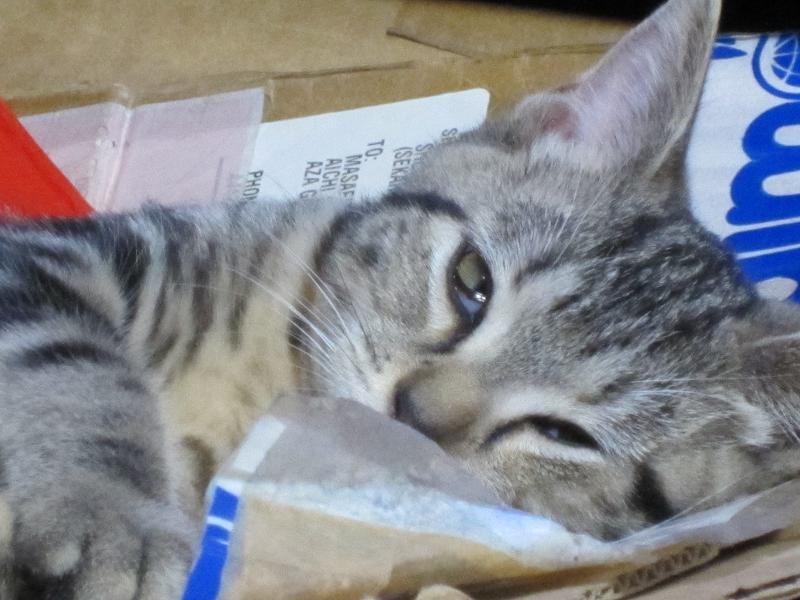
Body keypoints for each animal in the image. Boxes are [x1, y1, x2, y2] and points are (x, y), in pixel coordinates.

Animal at [1, 0, 799, 597]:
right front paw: (112, 517)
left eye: (565, 434)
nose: (411, 414)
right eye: (471, 282)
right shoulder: (68, 254)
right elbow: (71, 359)